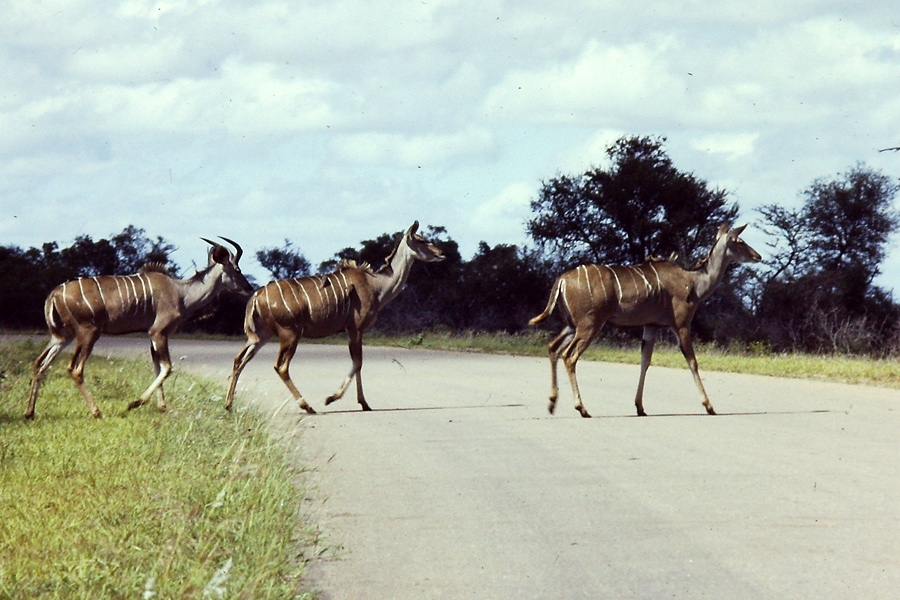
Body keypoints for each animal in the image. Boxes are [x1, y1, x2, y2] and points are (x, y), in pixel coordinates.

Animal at [26, 238, 253, 419]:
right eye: (237, 270)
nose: (249, 288)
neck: (181, 293)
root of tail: (54, 295)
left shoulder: (152, 335)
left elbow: (157, 367)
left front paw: (161, 406)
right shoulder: (159, 332)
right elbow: (167, 368)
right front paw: (135, 403)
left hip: (61, 337)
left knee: (40, 364)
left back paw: (30, 412)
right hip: (88, 334)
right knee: (74, 369)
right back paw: (97, 412)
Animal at [224, 221, 445, 414]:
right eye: (421, 240)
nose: (442, 253)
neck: (376, 286)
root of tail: (256, 296)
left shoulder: (353, 331)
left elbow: (358, 364)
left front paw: (364, 404)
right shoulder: (354, 328)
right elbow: (357, 363)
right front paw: (332, 398)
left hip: (262, 336)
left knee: (239, 360)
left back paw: (228, 405)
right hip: (290, 334)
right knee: (281, 366)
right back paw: (307, 406)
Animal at [530, 224, 761, 418]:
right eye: (739, 241)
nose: (757, 256)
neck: (694, 283)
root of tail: (561, 281)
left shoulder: (651, 326)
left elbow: (645, 361)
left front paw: (640, 407)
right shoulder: (681, 324)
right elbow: (692, 361)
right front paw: (709, 406)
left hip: (571, 325)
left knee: (553, 348)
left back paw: (552, 403)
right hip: (589, 325)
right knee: (569, 356)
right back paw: (582, 408)